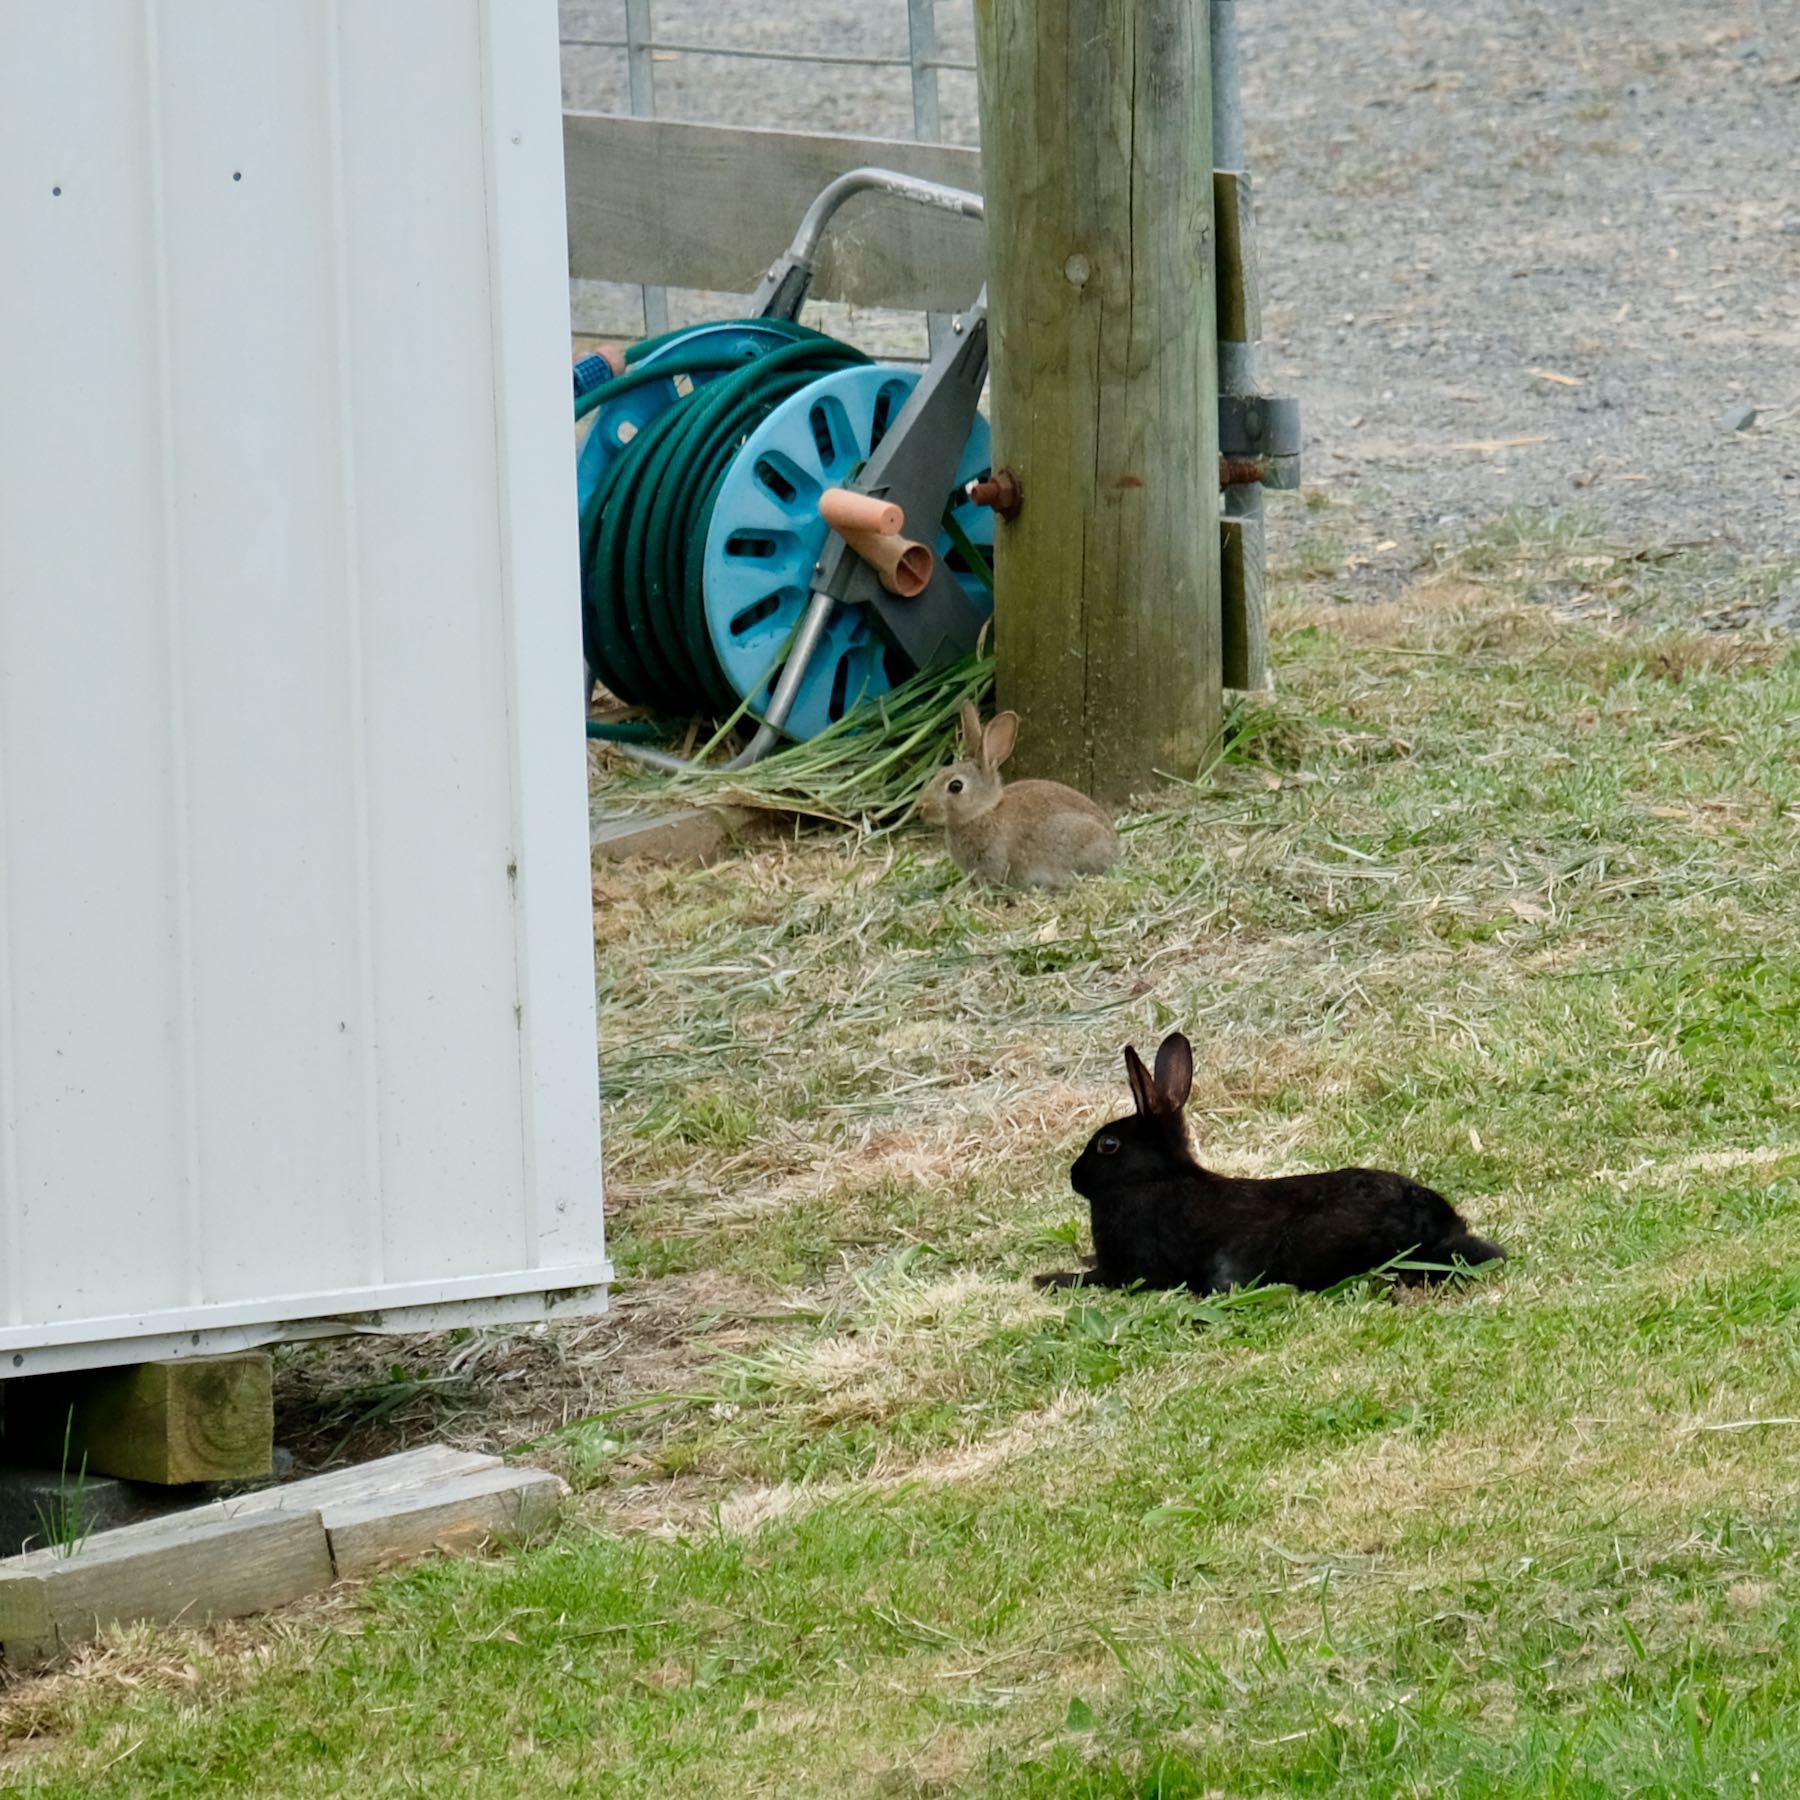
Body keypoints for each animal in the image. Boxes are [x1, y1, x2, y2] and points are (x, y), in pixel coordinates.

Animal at [1044, 1029, 1504, 1296]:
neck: (1154, 1179)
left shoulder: (1128, 1268)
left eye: (1108, 1145)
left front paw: (1048, 1279)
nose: (1073, 1177)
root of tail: (1437, 1226)